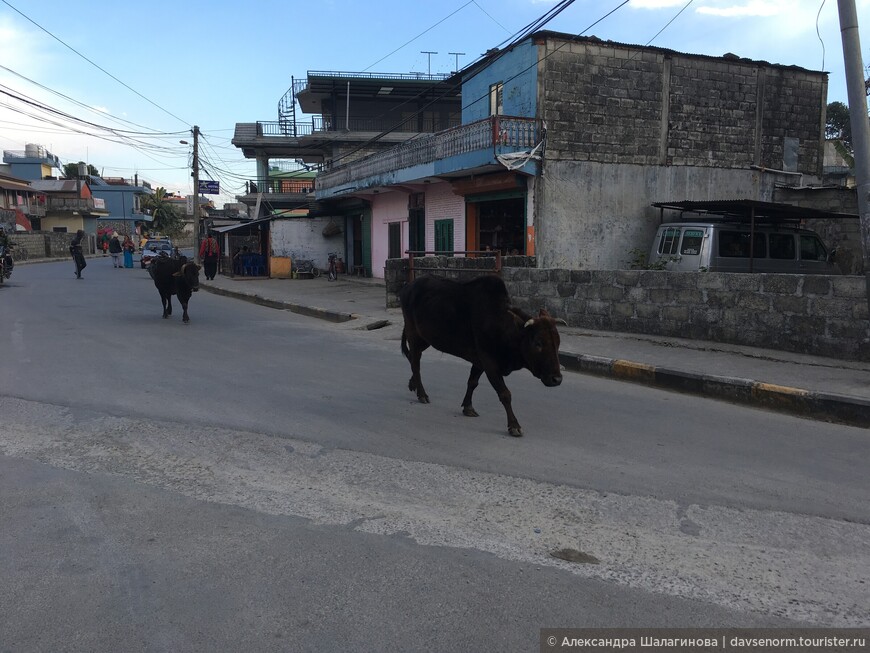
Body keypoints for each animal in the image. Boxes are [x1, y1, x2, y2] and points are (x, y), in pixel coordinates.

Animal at [398, 272, 564, 436]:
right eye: (538, 343)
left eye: (558, 342)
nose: (557, 379)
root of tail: (408, 287)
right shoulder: (489, 363)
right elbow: (505, 394)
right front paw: (514, 425)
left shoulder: (479, 362)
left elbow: (472, 382)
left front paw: (468, 407)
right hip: (414, 335)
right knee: (415, 364)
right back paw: (422, 394)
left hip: (424, 339)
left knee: (412, 359)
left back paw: (413, 384)